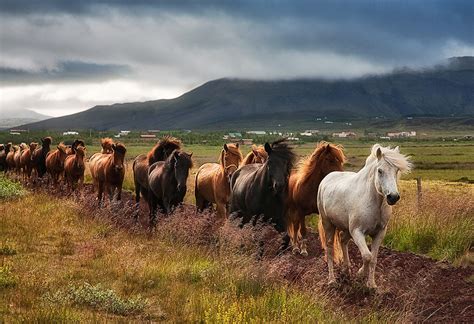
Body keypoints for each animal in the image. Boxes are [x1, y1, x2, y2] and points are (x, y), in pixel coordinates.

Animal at [318, 145, 412, 288]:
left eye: (396, 171)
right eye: (380, 171)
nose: (393, 197)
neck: (373, 202)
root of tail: (326, 179)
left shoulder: (379, 233)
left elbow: (373, 258)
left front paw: (371, 285)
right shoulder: (357, 232)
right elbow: (367, 256)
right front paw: (361, 274)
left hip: (346, 228)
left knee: (343, 240)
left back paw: (346, 270)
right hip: (328, 224)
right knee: (329, 249)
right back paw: (332, 280)